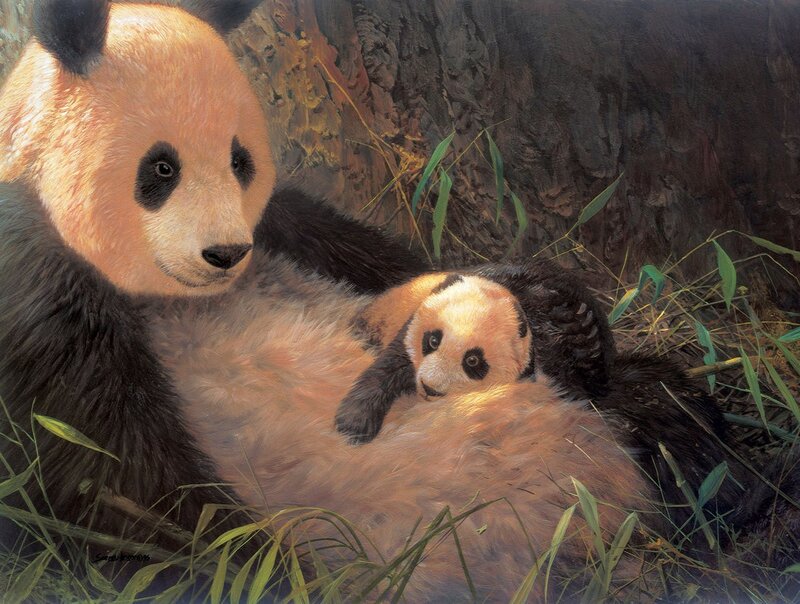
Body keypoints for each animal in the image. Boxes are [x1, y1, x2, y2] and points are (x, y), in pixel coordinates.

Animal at [0, 0, 792, 600]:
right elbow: (119, 485)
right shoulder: (34, 282)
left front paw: (556, 309)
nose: (225, 253)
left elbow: (388, 268)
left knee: (647, 401)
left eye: (239, 161)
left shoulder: (290, 227)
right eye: (160, 168)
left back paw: (722, 473)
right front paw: (260, 566)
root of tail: (605, 516)